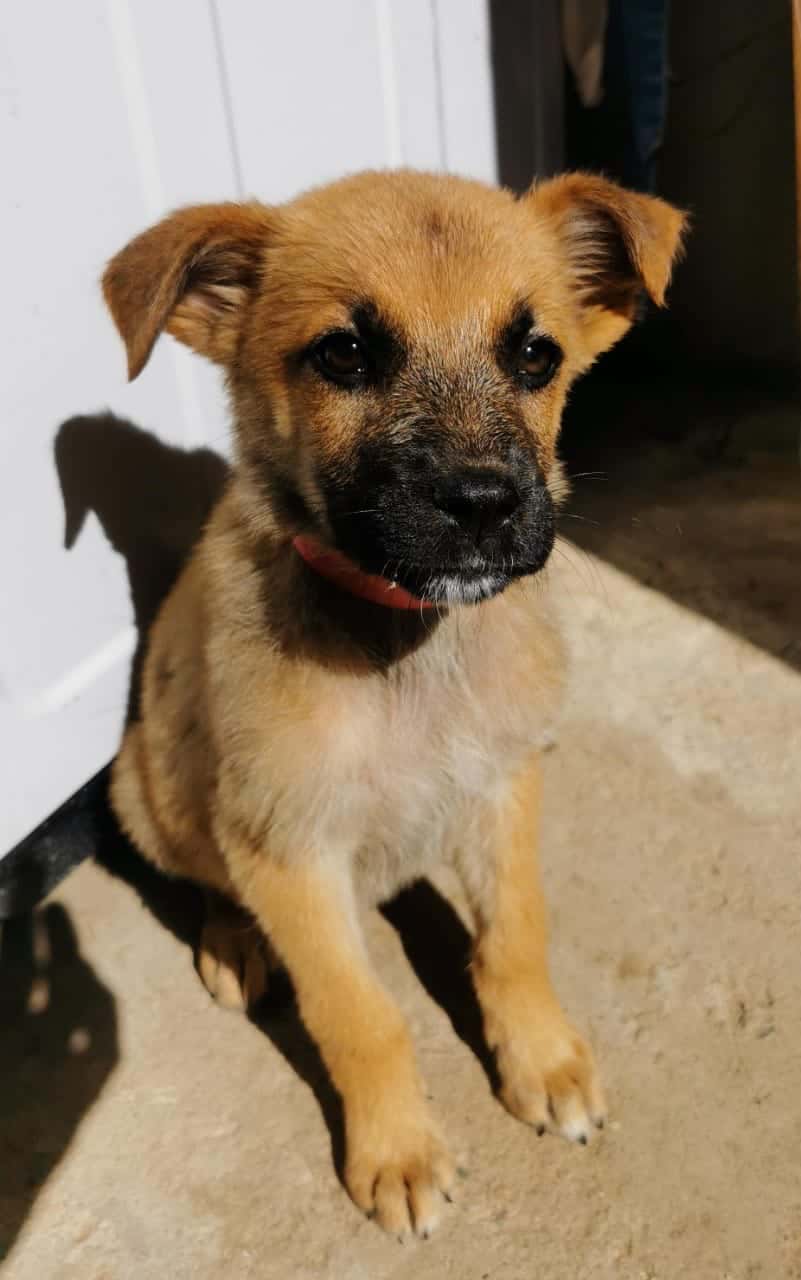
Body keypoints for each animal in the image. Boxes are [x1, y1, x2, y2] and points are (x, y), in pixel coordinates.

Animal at [103, 170, 680, 1239]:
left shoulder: (502, 782)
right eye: (344, 354)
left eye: (534, 354)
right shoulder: (286, 846)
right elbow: (359, 1016)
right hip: (142, 787)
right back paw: (233, 942)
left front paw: (542, 1061)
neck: (404, 642)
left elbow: (515, 937)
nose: (485, 503)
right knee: (204, 875)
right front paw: (398, 1150)